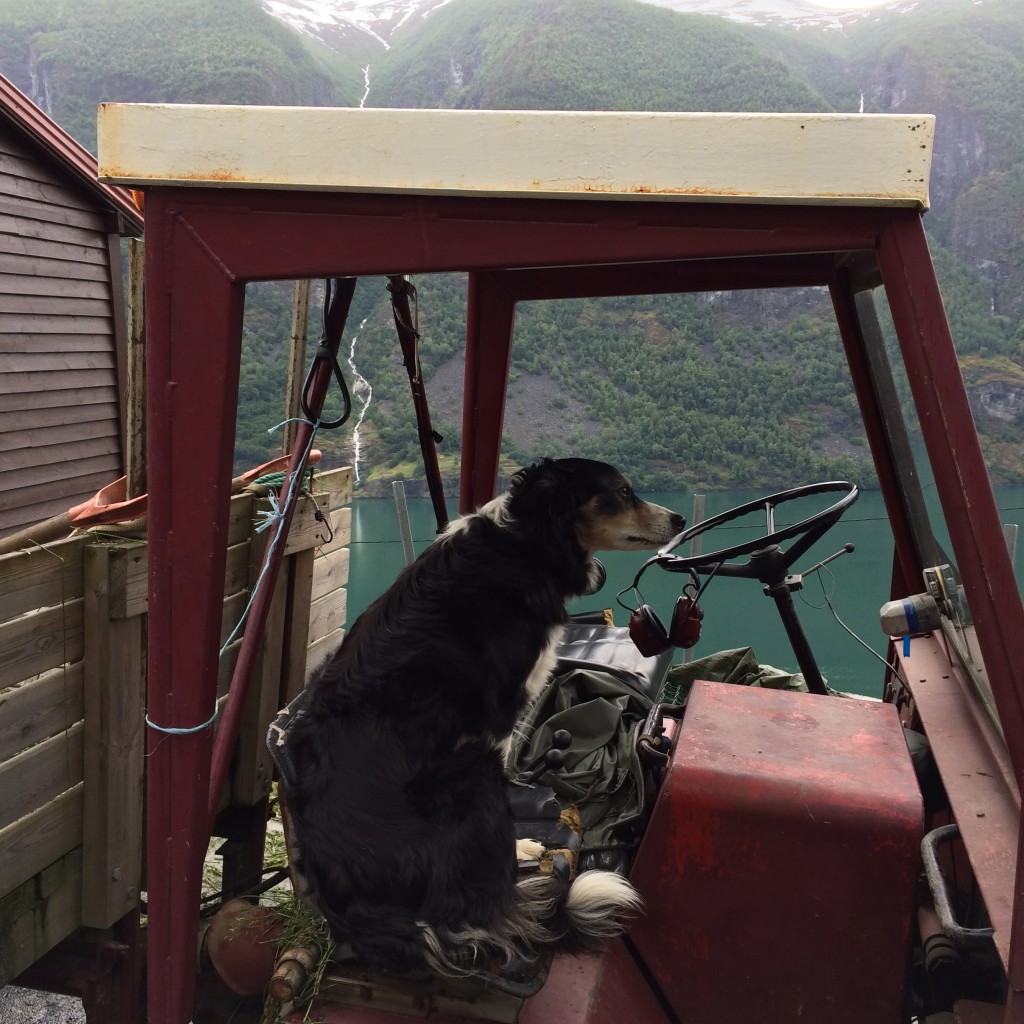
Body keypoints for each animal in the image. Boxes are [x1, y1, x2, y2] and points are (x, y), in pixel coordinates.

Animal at [286, 456, 688, 974]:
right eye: (622, 492)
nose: (679, 519)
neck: (523, 546)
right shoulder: (496, 720)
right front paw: (524, 845)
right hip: (468, 774)